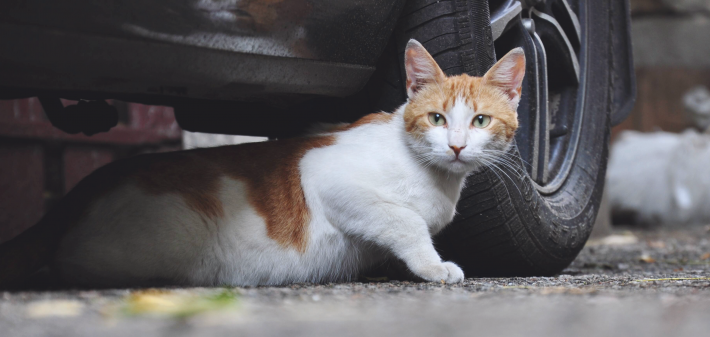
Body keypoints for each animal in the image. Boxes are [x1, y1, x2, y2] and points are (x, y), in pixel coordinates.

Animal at [0, 40, 524, 286]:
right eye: (437, 118)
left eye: (479, 120)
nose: (456, 146)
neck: (434, 178)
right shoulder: (328, 175)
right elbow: (405, 221)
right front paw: (434, 267)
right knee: (69, 264)